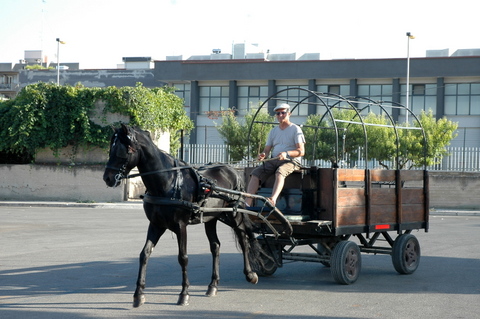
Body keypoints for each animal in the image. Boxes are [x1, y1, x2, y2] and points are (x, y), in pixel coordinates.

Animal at [103, 125, 264, 308]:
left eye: (122, 150)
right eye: (110, 148)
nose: (107, 178)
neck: (168, 183)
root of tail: (231, 170)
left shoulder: (181, 226)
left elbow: (183, 258)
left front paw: (184, 294)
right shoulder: (156, 224)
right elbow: (144, 254)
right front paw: (138, 294)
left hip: (233, 216)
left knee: (244, 240)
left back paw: (250, 274)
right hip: (211, 218)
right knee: (215, 246)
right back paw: (213, 285)